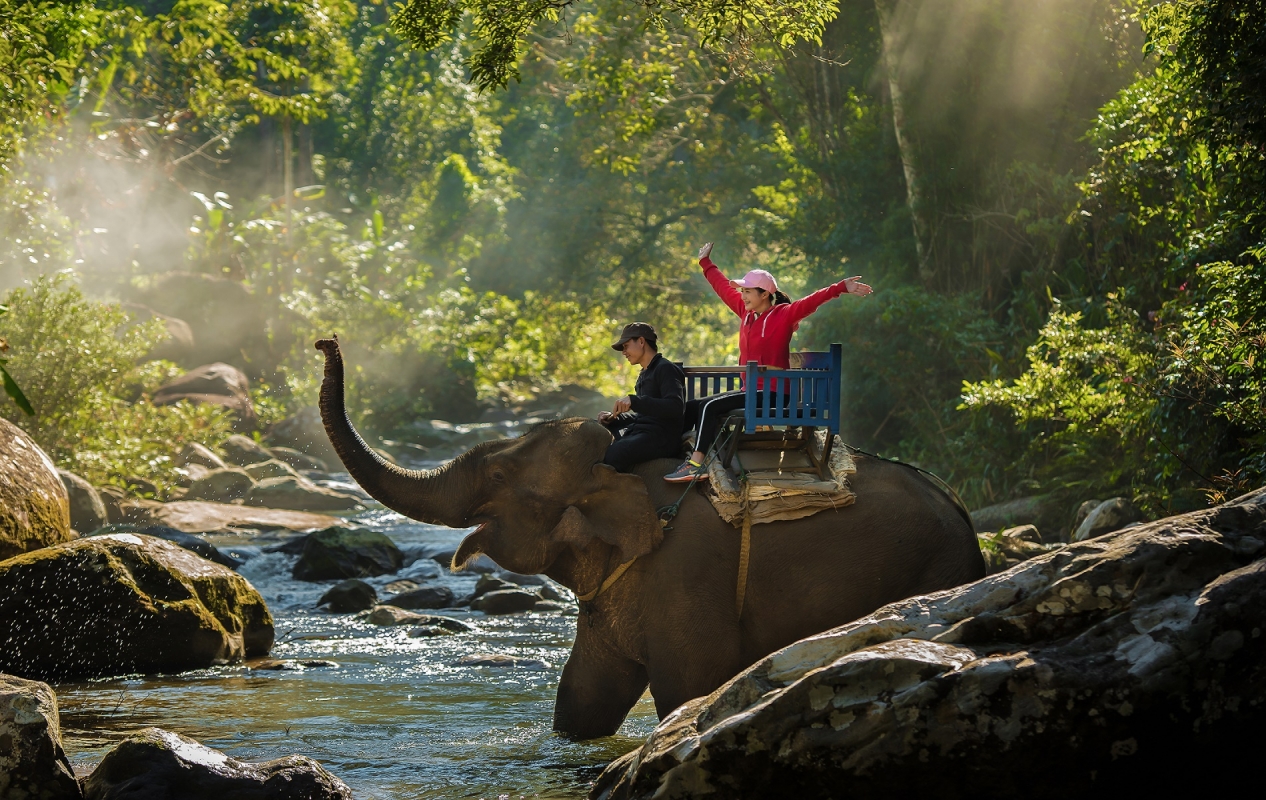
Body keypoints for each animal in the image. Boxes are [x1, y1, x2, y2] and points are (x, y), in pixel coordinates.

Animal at [315, 337, 985, 739]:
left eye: (502, 478)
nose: (325, 341)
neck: (623, 468)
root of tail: (962, 510)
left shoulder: (687, 576)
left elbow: (690, 692)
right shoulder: (611, 596)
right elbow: (582, 702)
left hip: (938, 565)